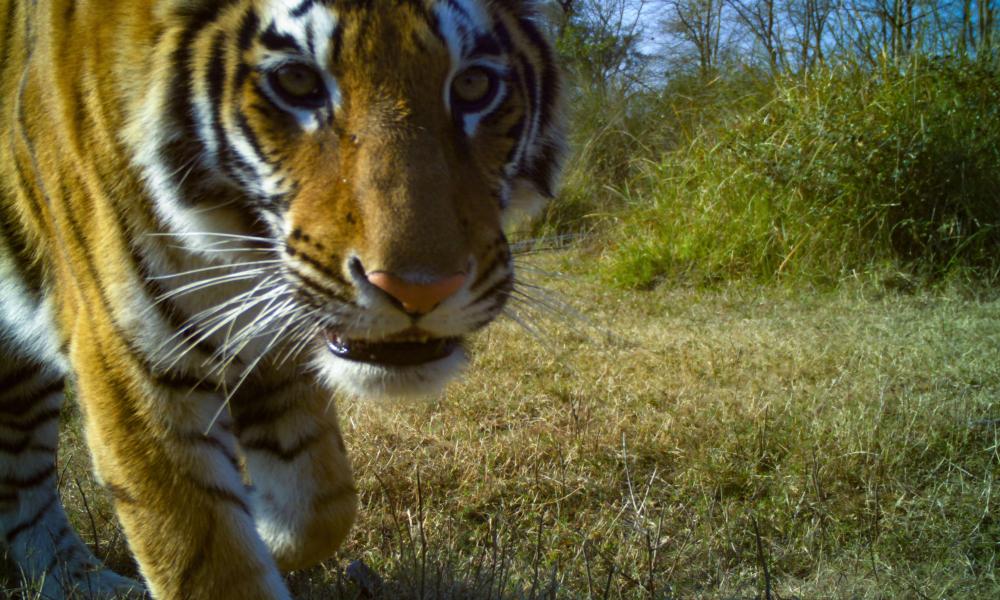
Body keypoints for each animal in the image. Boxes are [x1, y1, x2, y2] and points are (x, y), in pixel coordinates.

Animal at [0, 1, 564, 596]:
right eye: (296, 81)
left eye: (475, 85)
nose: (418, 289)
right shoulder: (130, 364)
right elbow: (208, 560)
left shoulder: (279, 347)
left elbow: (322, 506)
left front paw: (264, 525)